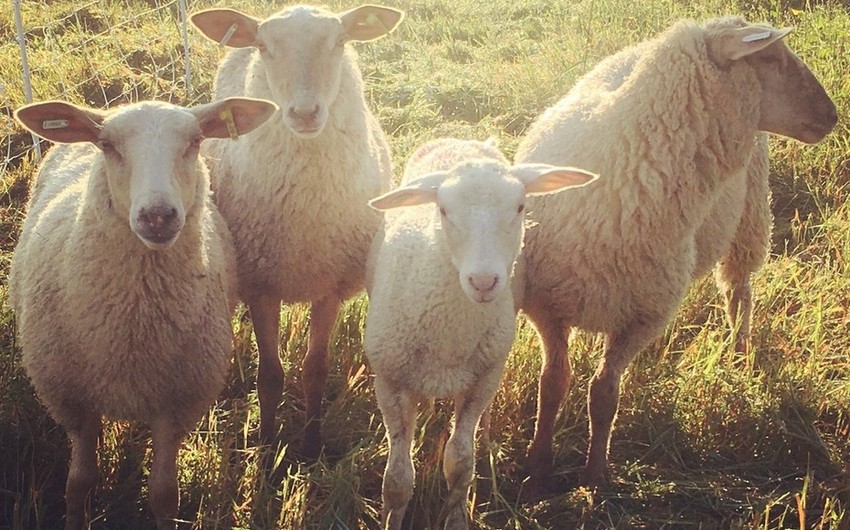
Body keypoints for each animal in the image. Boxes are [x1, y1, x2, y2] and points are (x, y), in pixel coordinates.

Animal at [9, 96, 276, 528]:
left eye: (195, 142)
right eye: (108, 146)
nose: (158, 216)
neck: (135, 330)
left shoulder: (177, 403)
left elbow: (164, 495)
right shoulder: (71, 398)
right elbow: (79, 483)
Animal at [192, 2, 404, 456]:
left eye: (340, 41)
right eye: (264, 46)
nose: (305, 114)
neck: (306, 215)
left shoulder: (330, 286)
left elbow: (315, 370)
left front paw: (309, 446)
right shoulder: (262, 286)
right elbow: (270, 376)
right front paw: (268, 449)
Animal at [364, 138, 596, 524]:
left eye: (520, 206)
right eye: (443, 210)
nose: (484, 282)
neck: (450, 334)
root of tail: (461, 141)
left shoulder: (480, 380)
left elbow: (460, 463)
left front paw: (457, 516)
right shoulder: (390, 381)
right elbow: (397, 480)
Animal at [510, 15, 836, 486]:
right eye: (771, 58)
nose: (832, 116)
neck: (622, 167)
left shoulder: (643, 317)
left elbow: (603, 394)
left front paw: (595, 475)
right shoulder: (546, 307)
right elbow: (552, 384)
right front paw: (537, 467)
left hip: (751, 218)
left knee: (738, 292)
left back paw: (739, 354)